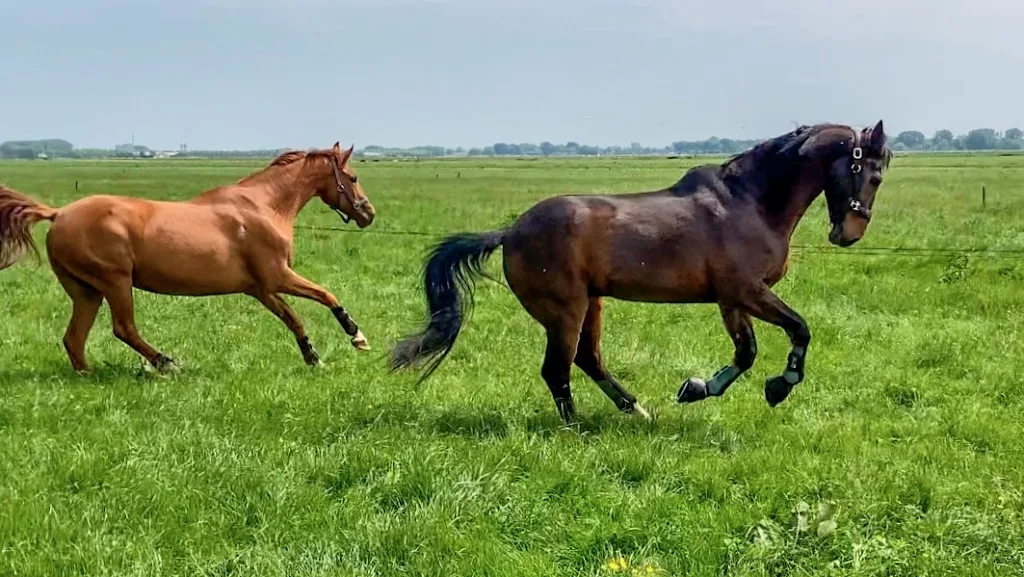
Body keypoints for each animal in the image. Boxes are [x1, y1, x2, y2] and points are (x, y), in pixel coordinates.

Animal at [0, 142, 376, 374]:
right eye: (353, 177)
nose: (368, 213)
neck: (263, 206)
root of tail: (58, 214)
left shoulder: (260, 288)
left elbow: (294, 320)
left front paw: (314, 359)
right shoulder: (277, 276)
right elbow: (326, 295)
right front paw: (357, 336)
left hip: (86, 291)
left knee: (74, 339)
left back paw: (88, 375)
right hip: (115, 281)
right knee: (124, 328)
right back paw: (167, 364)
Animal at [389, 121, 892, 425]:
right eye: (873, 173)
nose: (849, 233)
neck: (749, 201)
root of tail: (510, 231)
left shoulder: (731, 299)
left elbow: (746, 353)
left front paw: (695, 389)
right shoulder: (746, 290)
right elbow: (799, 329)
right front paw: (779, 386)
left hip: (592, 304)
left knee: (587, 360)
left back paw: (636, 410)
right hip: (565, 309)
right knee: (558, 368)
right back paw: (576, 430)